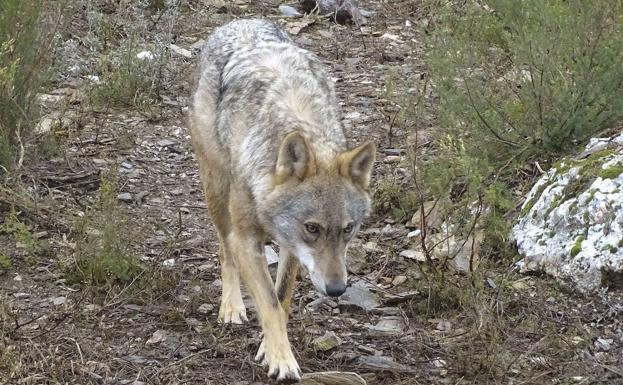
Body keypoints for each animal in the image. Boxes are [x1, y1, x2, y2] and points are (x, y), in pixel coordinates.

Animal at [190, 18, 376, 380]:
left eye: (348, 229)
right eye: (313, 228)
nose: (337, 290)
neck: (297, 118)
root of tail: (240, 21)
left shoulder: (290, 245)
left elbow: (282, 298)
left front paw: (268, 348)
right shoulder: (247, 238)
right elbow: (269, 304)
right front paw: (282, 360)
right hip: (216, 192)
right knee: (224, 250)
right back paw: (231, 306)